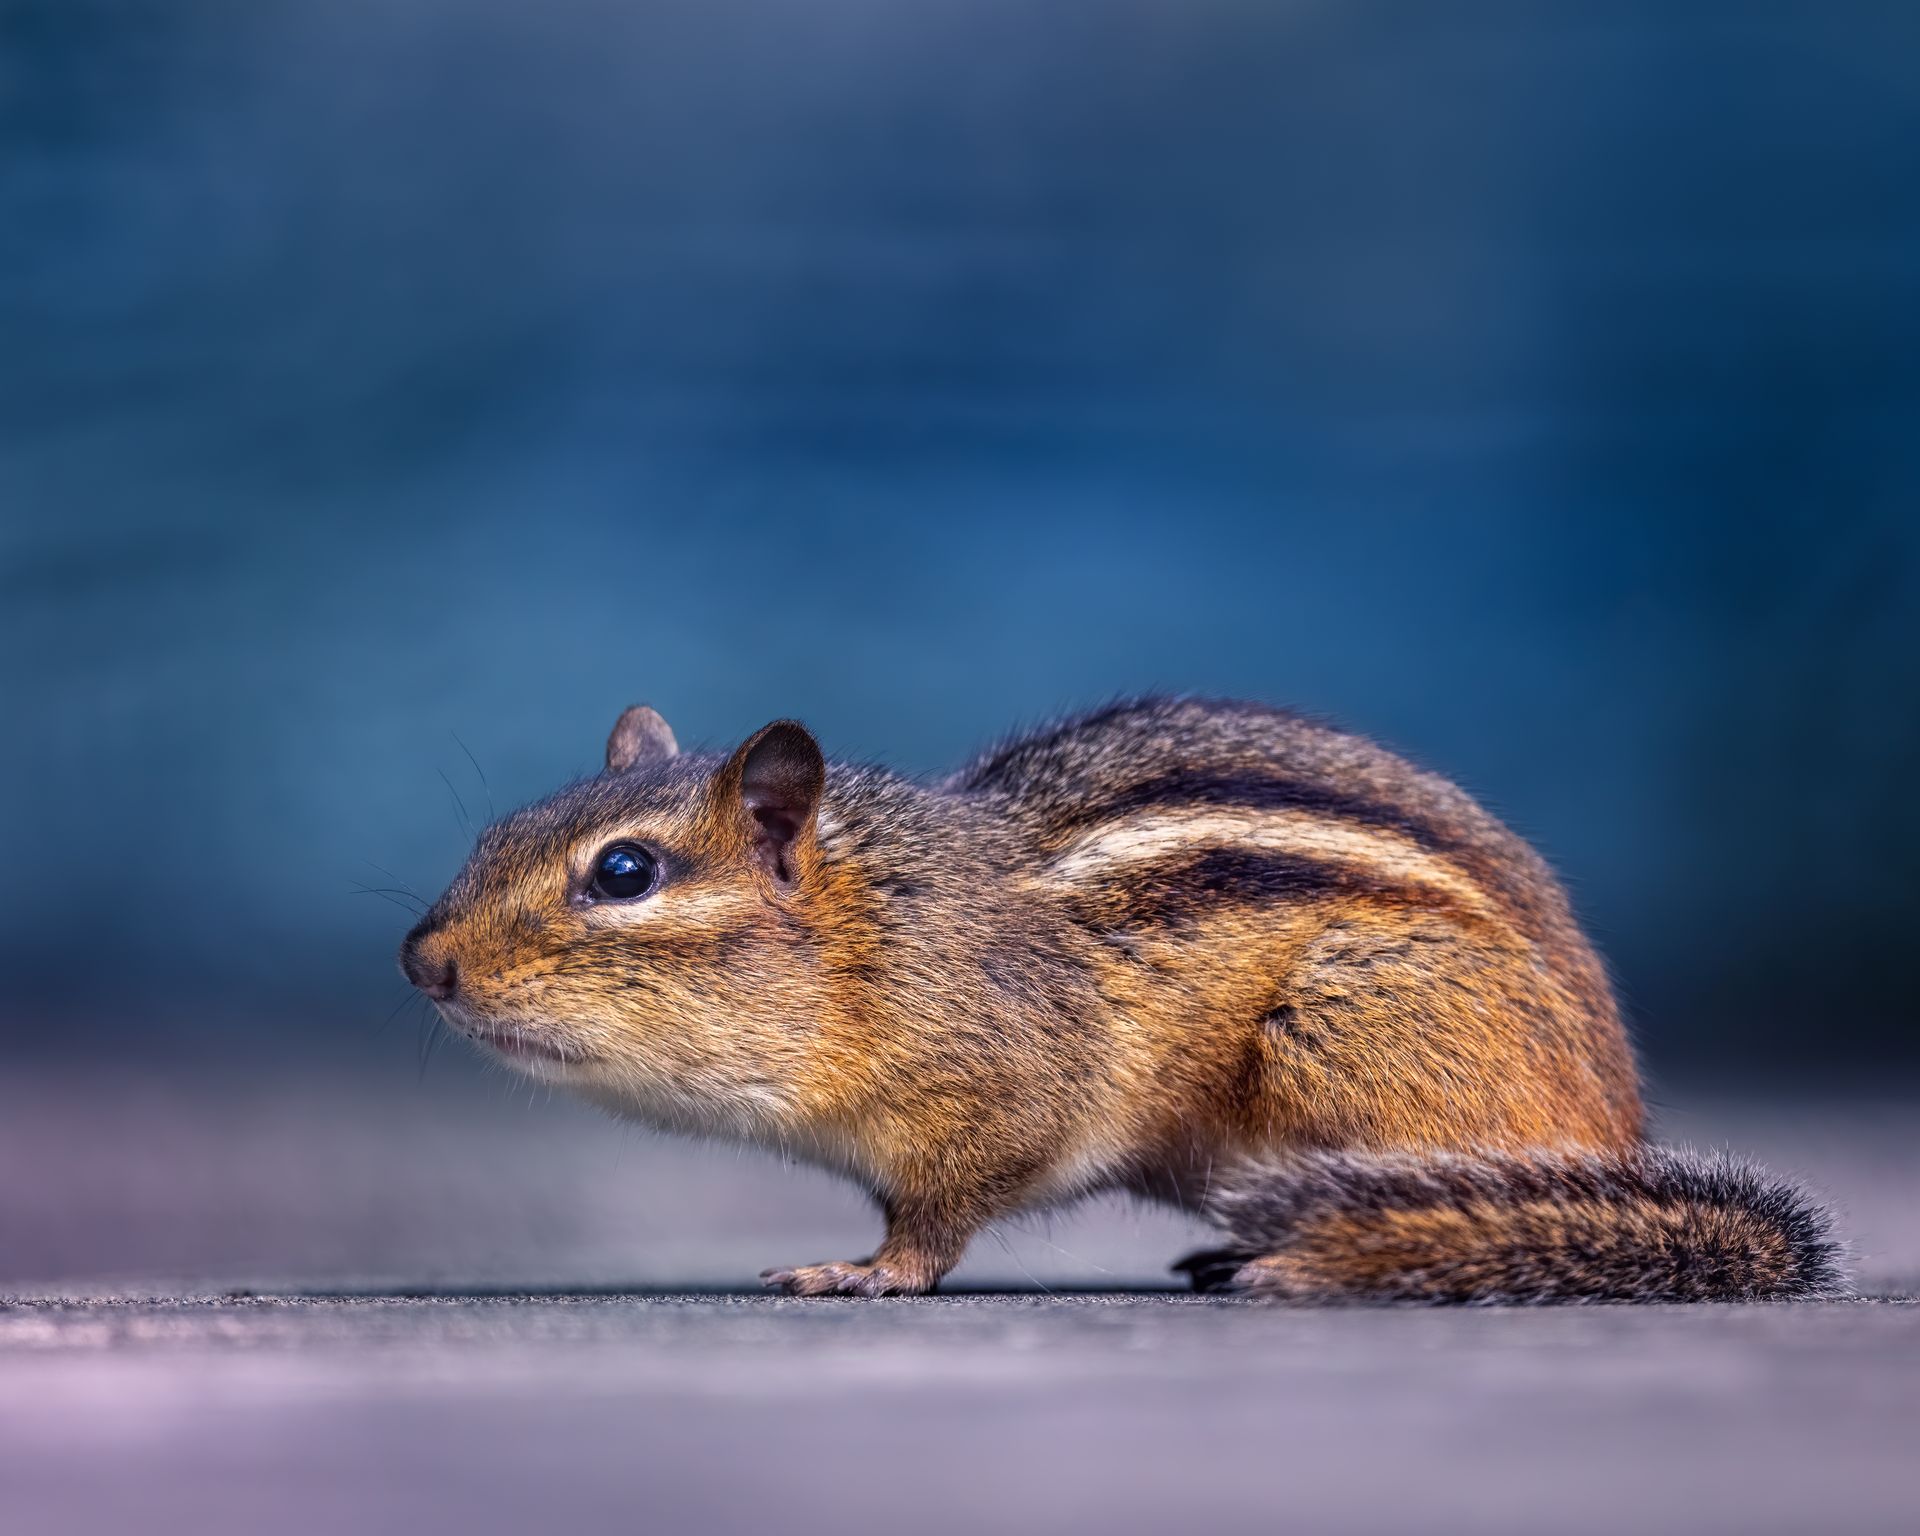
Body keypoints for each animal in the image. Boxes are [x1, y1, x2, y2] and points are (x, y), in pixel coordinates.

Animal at [400, 697, 1844, 1303]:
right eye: (496, 832)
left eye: (624, 873)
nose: (422, 960)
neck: (883, 932)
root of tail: (1621, 1140)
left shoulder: (1006, 1099)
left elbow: (932, 1221)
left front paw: (865, 1272)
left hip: (1347, 1033)